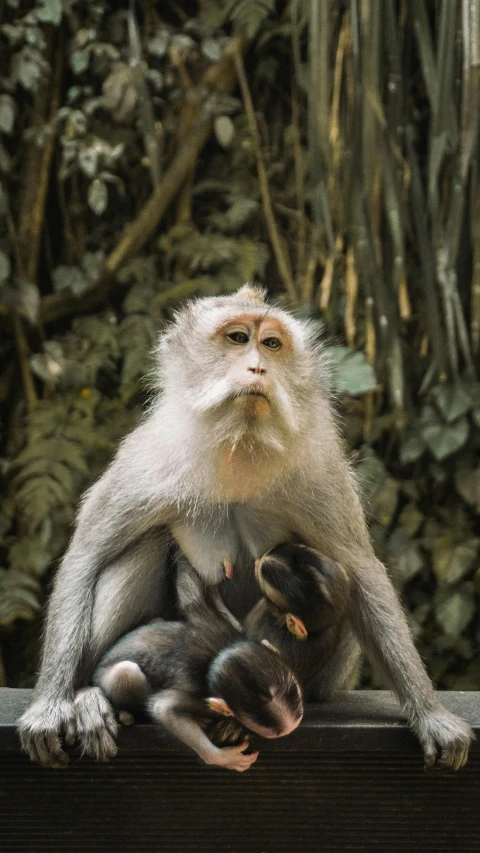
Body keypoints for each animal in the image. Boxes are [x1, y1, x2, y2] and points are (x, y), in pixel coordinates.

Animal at [92, 560, 302, 772]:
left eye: (298, 694)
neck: (218, 656)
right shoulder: (201, 698)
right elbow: (163, 708)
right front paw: (222, 758)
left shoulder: (221, 626)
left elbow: (192, 597)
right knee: (126, 673)